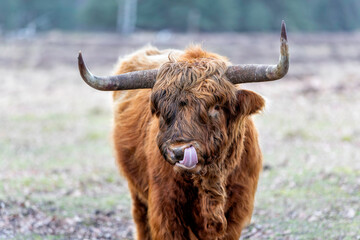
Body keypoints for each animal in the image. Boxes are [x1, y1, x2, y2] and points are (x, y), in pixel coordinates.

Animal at [77, 21, 288, 239]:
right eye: (161, 109)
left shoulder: (237, 212)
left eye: (216, 106)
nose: (179, 151)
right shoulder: (165, 210)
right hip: (137, 192)